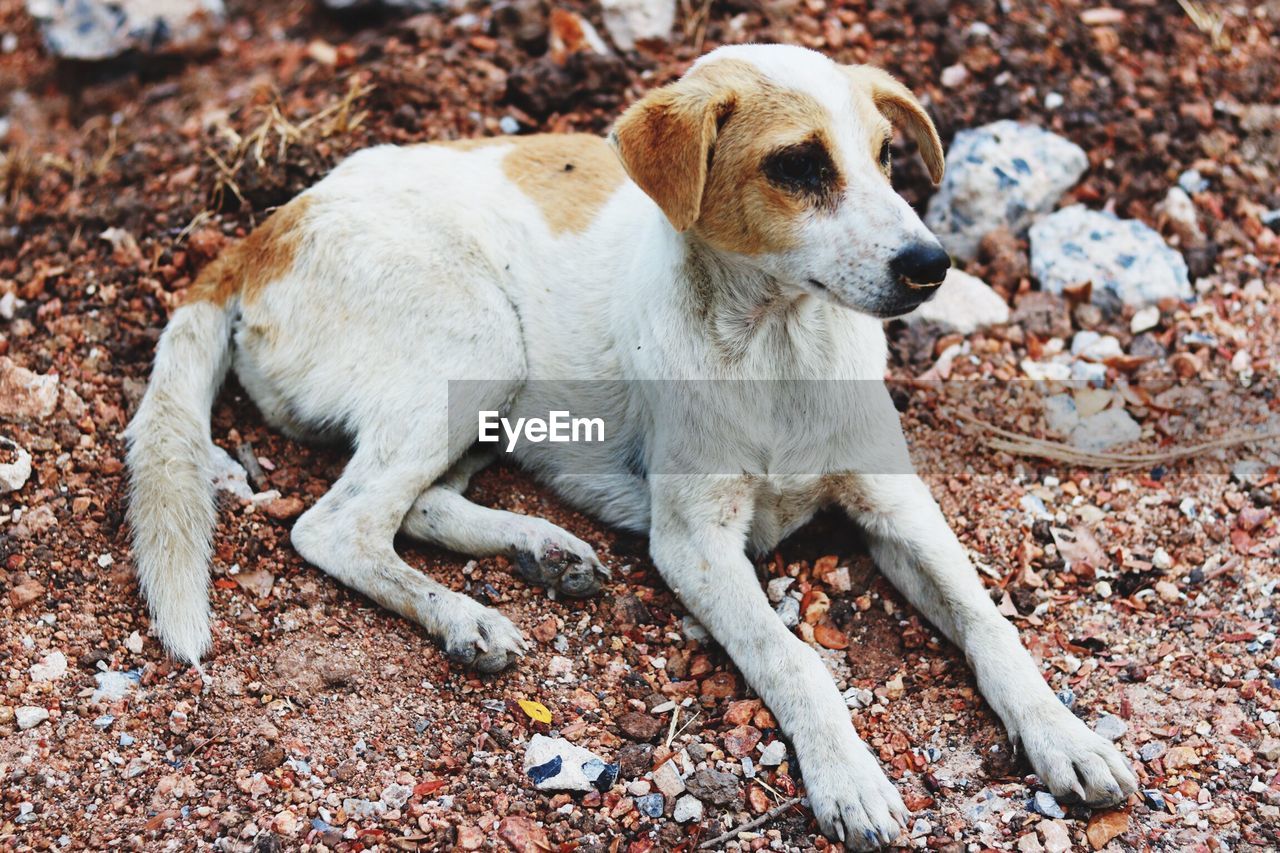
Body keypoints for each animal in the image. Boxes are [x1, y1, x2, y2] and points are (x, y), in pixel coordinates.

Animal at [124, 44, 1136, 845]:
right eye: (799, 165)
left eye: (890, 158)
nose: (931, 266)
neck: (778, 347)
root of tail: (264, 229)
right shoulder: (694, 544)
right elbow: (794, 659)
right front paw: (848, 778)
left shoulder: (895, 502)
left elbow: (990, 624)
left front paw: (1069, 736)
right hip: (477, 341)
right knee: (339, 525)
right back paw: (468, 617)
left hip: (493, 390)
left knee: (419, 503)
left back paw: (542, 550)